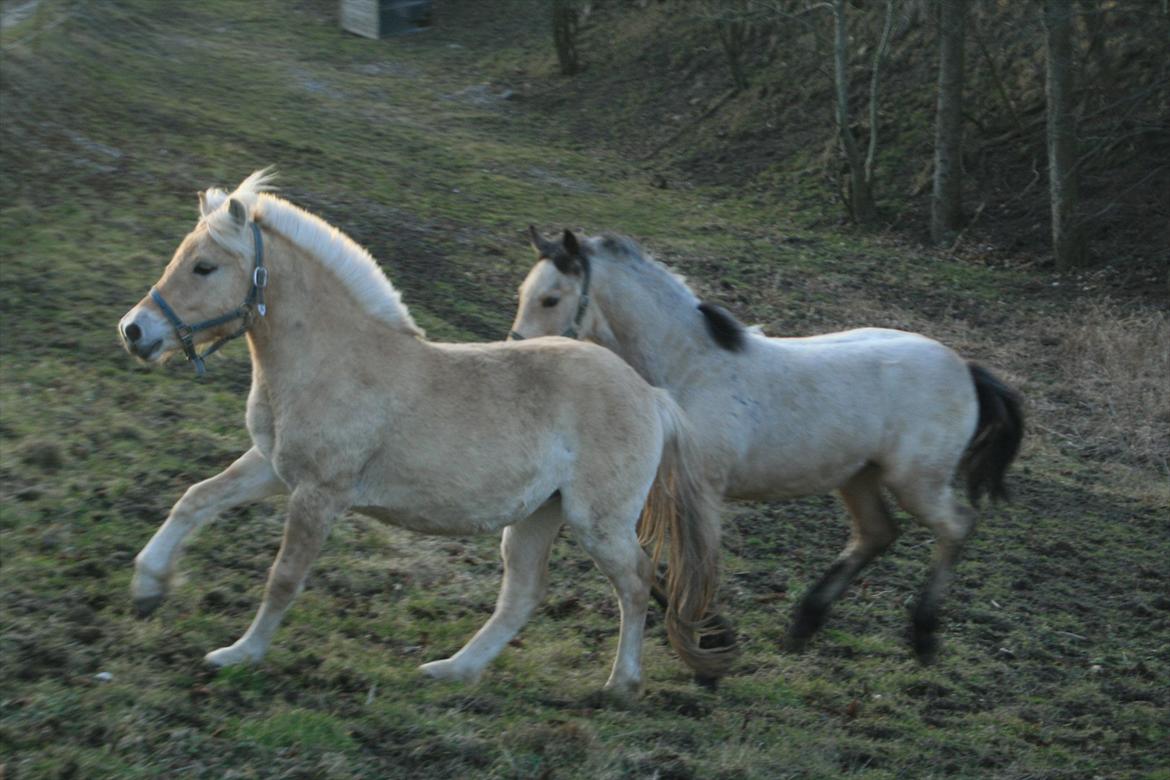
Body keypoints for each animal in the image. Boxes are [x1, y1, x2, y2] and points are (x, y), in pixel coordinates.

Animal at [111, 174, 730, 692]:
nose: (134, 331)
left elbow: (284, 577)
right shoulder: (273, 466)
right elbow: (195, 499)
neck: (334, 359)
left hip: (595, 522)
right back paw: (452, 671)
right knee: (524, 593)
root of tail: (651, 396)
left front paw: (239, 655)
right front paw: (147, 589)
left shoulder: (319, 493)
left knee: (636, 581)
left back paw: (621, 685)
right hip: (538, 515)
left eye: (205, 267)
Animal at [507, 229, 1020, 664]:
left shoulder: (701, 493)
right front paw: (713, 636)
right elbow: (658, 568)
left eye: (551, 298)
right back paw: (804, 625)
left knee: (956, 525)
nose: (520, 357)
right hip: (858, 477)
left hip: (916, 481)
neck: (689, 367)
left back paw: (923, 636)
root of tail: (966, 369)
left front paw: (710, 639)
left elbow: (692, 567)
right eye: (522, 294)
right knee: (877, 533)